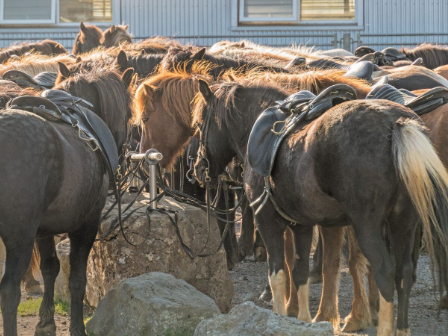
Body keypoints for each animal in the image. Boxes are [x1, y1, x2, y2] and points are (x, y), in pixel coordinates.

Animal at [0, 65, 134, 336]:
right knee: (9, 292)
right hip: (20, 238)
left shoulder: (43, 229)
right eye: (129, 112)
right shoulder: (86, 225)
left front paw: (45, 323)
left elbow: (50, 267)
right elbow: (77, 279)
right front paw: (76, 327)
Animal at [191, 79, 448, 336]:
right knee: (404, 274)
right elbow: (300, 272)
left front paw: (279, 314)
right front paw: (302, 320)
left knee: (384, 271)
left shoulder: (266, 221)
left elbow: (278, 274)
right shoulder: (301, 224)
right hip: (403, 223)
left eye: (200, 124)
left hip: (368, 227)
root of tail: (395, 123)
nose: (198, 169)